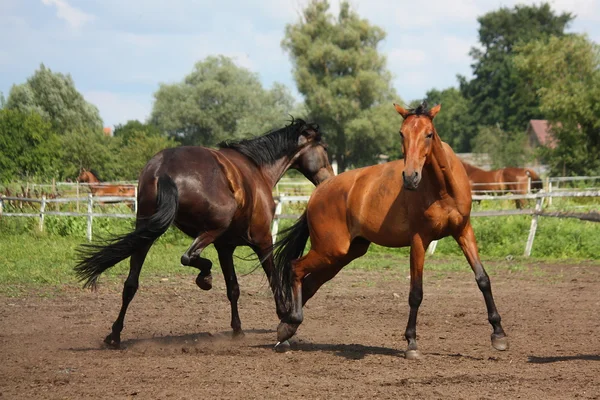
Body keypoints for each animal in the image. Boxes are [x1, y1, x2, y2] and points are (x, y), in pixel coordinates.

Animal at [75, 118, 332, 346]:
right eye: (325, 149)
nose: (328, 179)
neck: (257, 170)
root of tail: (163, 170)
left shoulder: (225, 247)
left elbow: (233, 288)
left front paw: (238, 331)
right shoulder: (262, 241)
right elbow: (273, 281)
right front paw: (285, 322)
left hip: (146, 233)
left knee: (131, 283)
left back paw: (115, 335)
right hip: (212, 229)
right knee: (188, 256)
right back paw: (204, 277)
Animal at [274, 103, 508, 360]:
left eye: (429, 134)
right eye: (401, 134)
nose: (410, 177)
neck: (442, 189)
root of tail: (319, 191)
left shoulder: (463, 231)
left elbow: (482, 279)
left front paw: (499, 334)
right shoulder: (419, 240)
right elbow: (416, 292)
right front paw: (411, 343)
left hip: (343, 255)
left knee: (309, 283)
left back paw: (287, 329)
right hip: (330, 250)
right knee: (295, 268)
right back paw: (288, 327)